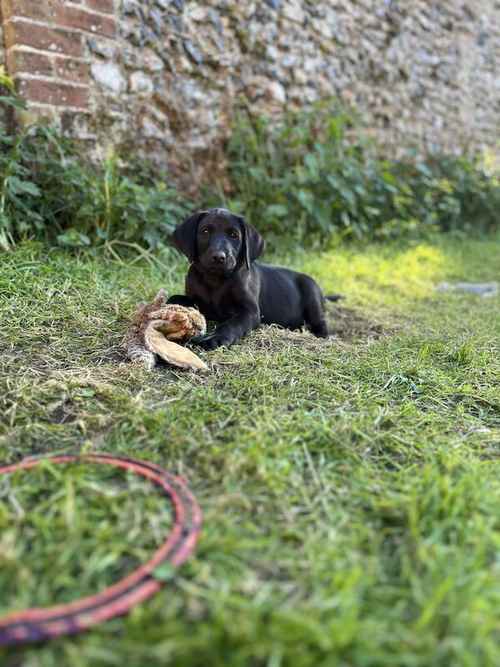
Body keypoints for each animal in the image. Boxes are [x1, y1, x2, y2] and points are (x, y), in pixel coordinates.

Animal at [169, 209, 340, 350]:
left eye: (234, 235)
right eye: (205, 231)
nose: (219, 257)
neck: (215, 280)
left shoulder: (250, 311)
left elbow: (232, 324)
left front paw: (215, 338)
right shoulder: (195, 297)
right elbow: (176, 298)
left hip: (312, 295)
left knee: (320, 324)